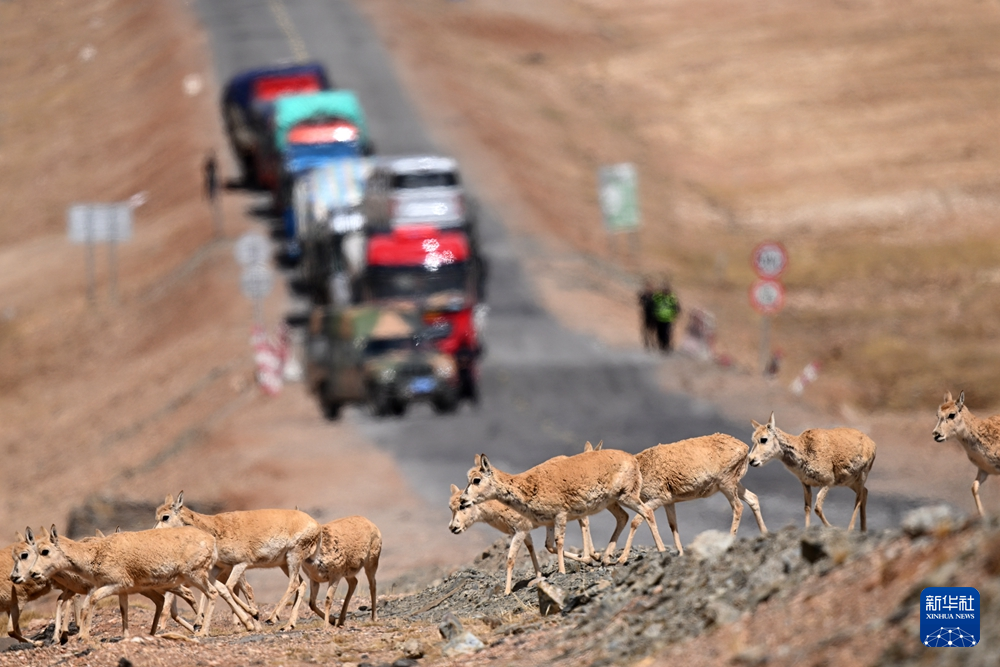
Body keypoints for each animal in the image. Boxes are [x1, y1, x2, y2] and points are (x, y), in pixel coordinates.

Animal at [13, 524, 254, 640]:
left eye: (44, 551)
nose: (32, 574)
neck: (95, 553)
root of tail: (210, 540)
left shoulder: (112, 586)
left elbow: (90, 603)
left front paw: (82, 635)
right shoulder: (124, 590)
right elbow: (123, 610)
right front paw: (125, 636)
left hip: (195, 576)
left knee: (212, 594)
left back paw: (203, 631)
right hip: (201, 576)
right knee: (218, 592)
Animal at [458, 446, 664, 572]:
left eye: (476, 480)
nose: (462, 500)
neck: (528, 485)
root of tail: (633, 459)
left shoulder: (561, 515)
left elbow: (559, 542)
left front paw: (563, 570)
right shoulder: (549, 521)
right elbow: (549, 545)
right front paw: (587, 558)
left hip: (627, 496)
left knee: (646, 512)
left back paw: (654, 551)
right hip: (612, 502)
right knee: (623, 517)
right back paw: (606, 558)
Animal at [620, 434, 768, 560]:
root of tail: (745, 448)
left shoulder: (657, 499)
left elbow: (636, 521)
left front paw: (622, 559)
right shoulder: (668, 502)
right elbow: (673, 525)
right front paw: (680, 554)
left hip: (727, 485)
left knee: (738, 507)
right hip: (733, 485)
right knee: (753, 498)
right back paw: (764, 534)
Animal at [748, 412, 880, 532]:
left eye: (763, 439)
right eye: (753, 439)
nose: (751, 460)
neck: (805, 449)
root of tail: (872, 443)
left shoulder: (828, 483)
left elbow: (817, 507)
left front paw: (832, 527)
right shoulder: (806, 484)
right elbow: (807, 507)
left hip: (861, 477)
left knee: (859, 498)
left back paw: (851, 529)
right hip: (850, 482)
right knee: (865, 492)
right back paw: (863, 529)